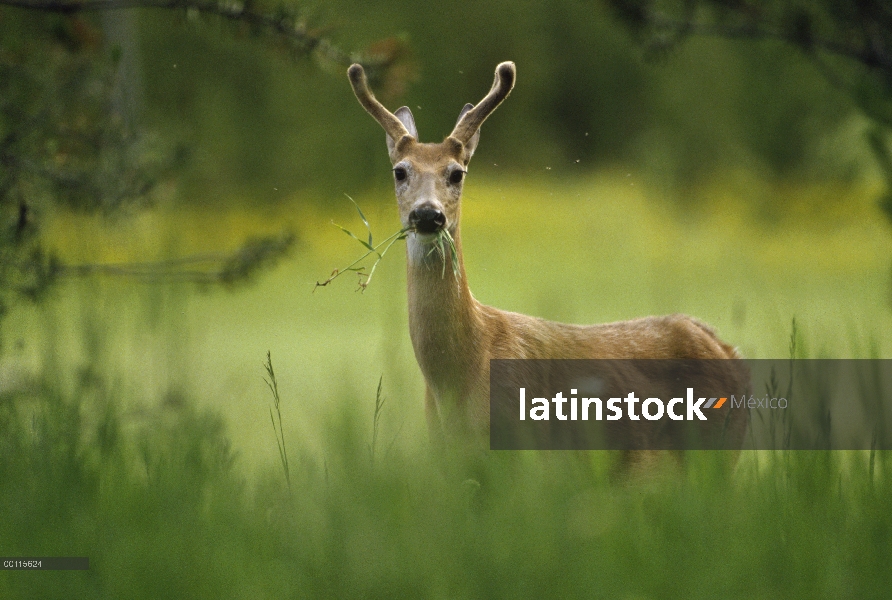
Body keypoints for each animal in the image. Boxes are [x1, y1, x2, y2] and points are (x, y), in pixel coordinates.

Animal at [344, 62, 748, 468]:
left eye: (457, 173)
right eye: (400, 171)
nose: (428, 214)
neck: (462, 376)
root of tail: (725, 347)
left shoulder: (529, 456)